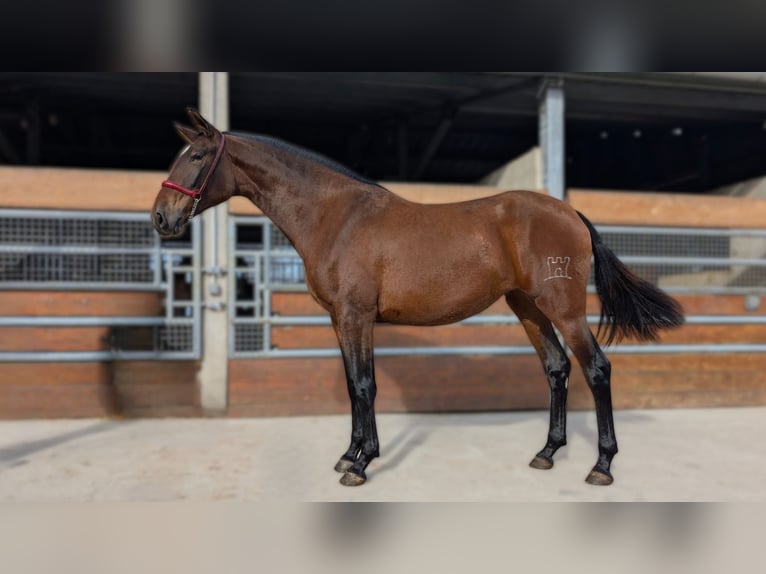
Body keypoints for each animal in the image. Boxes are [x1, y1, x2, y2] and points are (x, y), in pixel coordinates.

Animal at [152, 108, 684, 487]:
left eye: (196, 157)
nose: (161, 218)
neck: (335, 215)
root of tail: (569, 212)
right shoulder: (340, 320)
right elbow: (352, 385)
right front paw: (348, 454)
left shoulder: (356, 316)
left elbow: (364, 385)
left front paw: (361, 465)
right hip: (528, 308)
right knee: (556, 369)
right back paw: (547, 453)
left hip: (565, 310)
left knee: (597, 369)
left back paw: (602, 466)